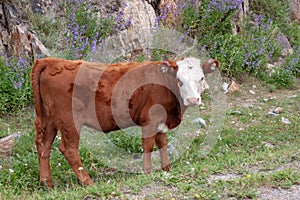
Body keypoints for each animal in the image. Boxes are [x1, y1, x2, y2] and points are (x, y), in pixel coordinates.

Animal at [30, 56, 219, 188]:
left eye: (201, 78)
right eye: (179, 80)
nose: (193, 100)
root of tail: (52, 61)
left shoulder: (161, 123)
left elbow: (162, 144)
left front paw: (166, 170)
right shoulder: (150, 120)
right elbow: (148, 145)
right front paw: (147, 172)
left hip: (49, 119)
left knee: (43, 146)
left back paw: (47, 183)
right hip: (69, 121)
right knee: (68, 149)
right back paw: (88, 182)